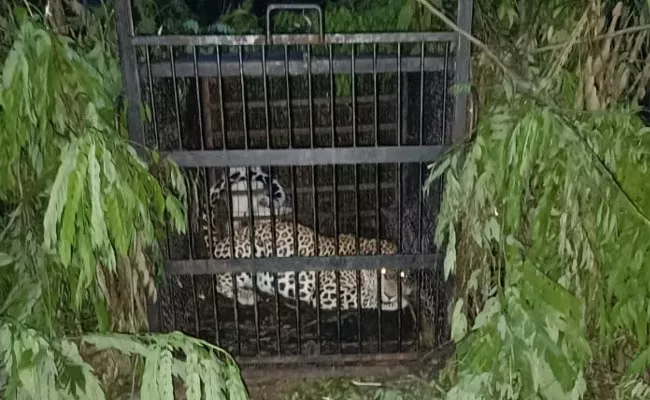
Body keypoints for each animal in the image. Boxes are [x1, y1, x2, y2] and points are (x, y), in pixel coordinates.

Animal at [205, 219, 412, 312]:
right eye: (382, 273)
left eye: (402, 275)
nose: (390, 294)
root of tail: (222, 241)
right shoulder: (327, 292)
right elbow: (364, 295)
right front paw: (395, 301)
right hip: (250, 249)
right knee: (219, 284)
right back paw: (247, 296)